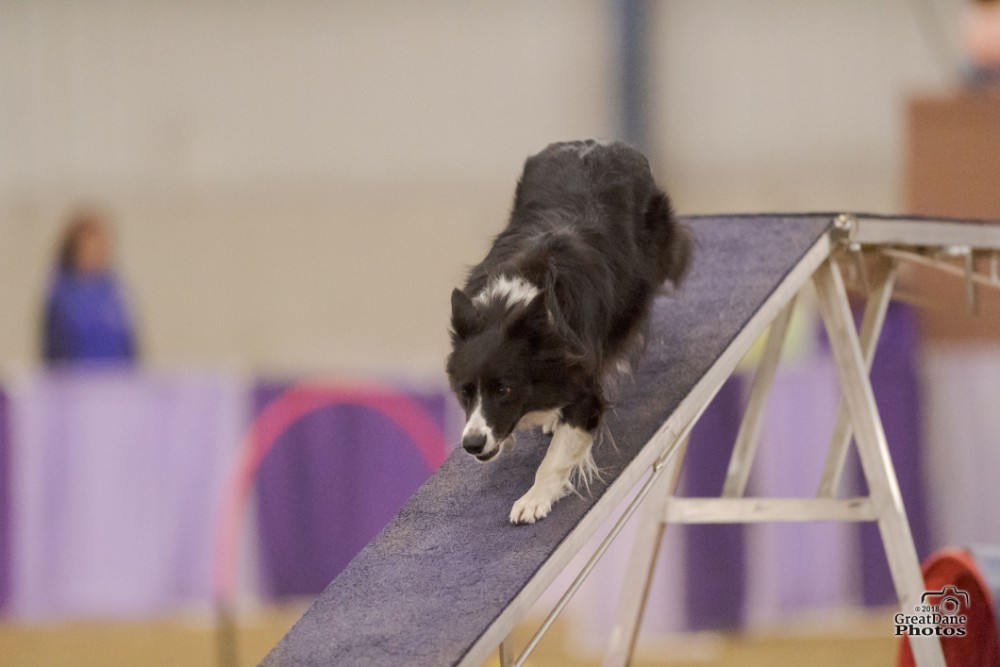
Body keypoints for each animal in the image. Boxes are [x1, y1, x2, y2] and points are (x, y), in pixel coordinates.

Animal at [446, 140, 692, 524]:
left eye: (503, 389)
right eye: (464, 392)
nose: (472, 444)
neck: (512, 306)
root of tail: (596, 144)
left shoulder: (584, 379)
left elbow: (560, 451)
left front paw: (534, 499)